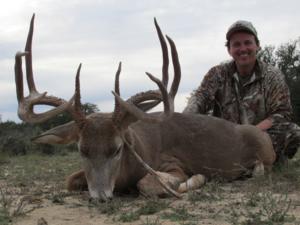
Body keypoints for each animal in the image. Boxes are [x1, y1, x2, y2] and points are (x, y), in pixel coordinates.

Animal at [15, 13, 276, 200]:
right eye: (82, 150)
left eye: (117, 149)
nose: (101, 197)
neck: (138, 148)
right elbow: (69, 180)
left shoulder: (173, 163)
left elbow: (148, 185)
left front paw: (197, 180)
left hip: (265, 152)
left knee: (262, 169)